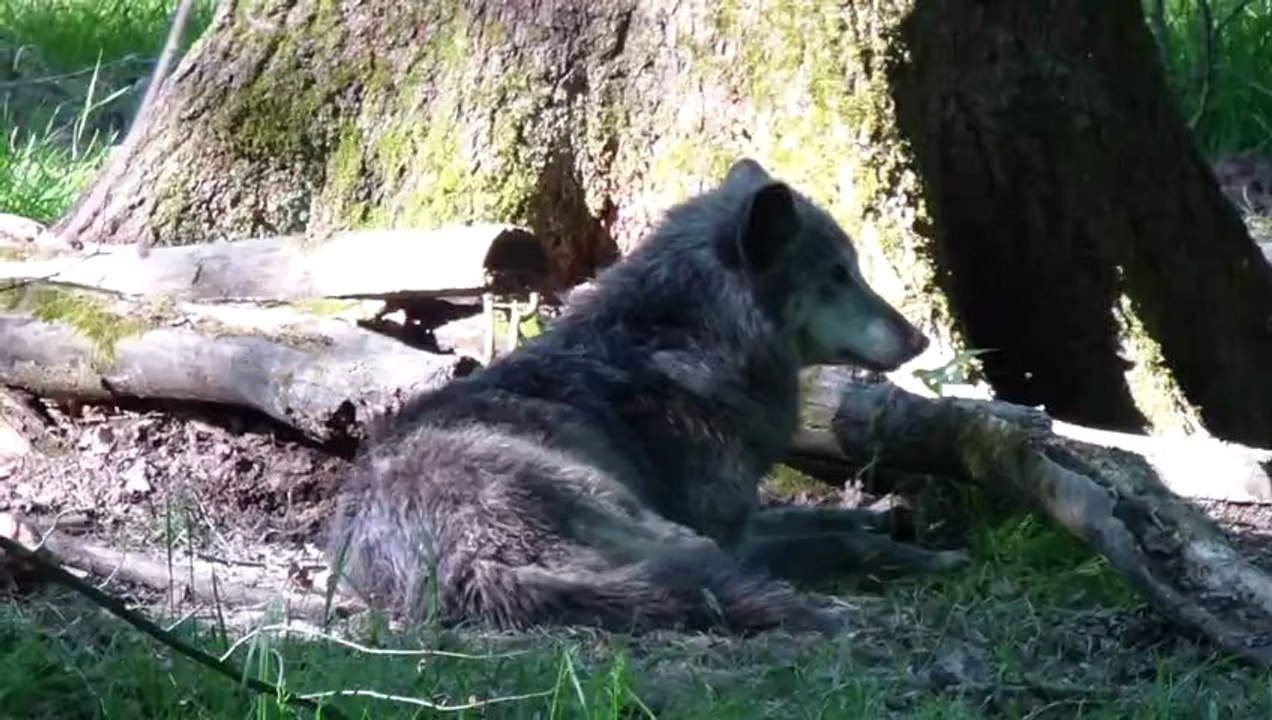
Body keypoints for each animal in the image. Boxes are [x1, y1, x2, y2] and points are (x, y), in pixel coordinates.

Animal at [324, 158, 966, 635]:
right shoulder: (731, 531)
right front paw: (920, 550)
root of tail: (468, 562)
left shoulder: (743, 516)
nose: (921, 338)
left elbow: (824, 514)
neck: (685, 338)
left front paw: (889, 513)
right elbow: (831, 535)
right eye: (838, 274)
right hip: (671, 532)